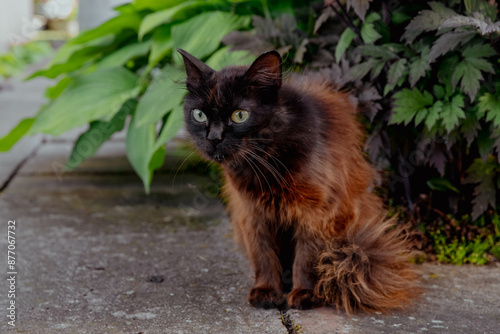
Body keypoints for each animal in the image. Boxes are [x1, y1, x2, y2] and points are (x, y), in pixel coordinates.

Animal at [178, 47, 420, 314]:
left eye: (239, 115)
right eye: (199, 115)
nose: (213, 138)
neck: (267, 165)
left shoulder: (316, 212)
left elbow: (307, 257)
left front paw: (305, 293)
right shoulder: (253, 213)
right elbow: (263, 256)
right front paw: (266, 291)